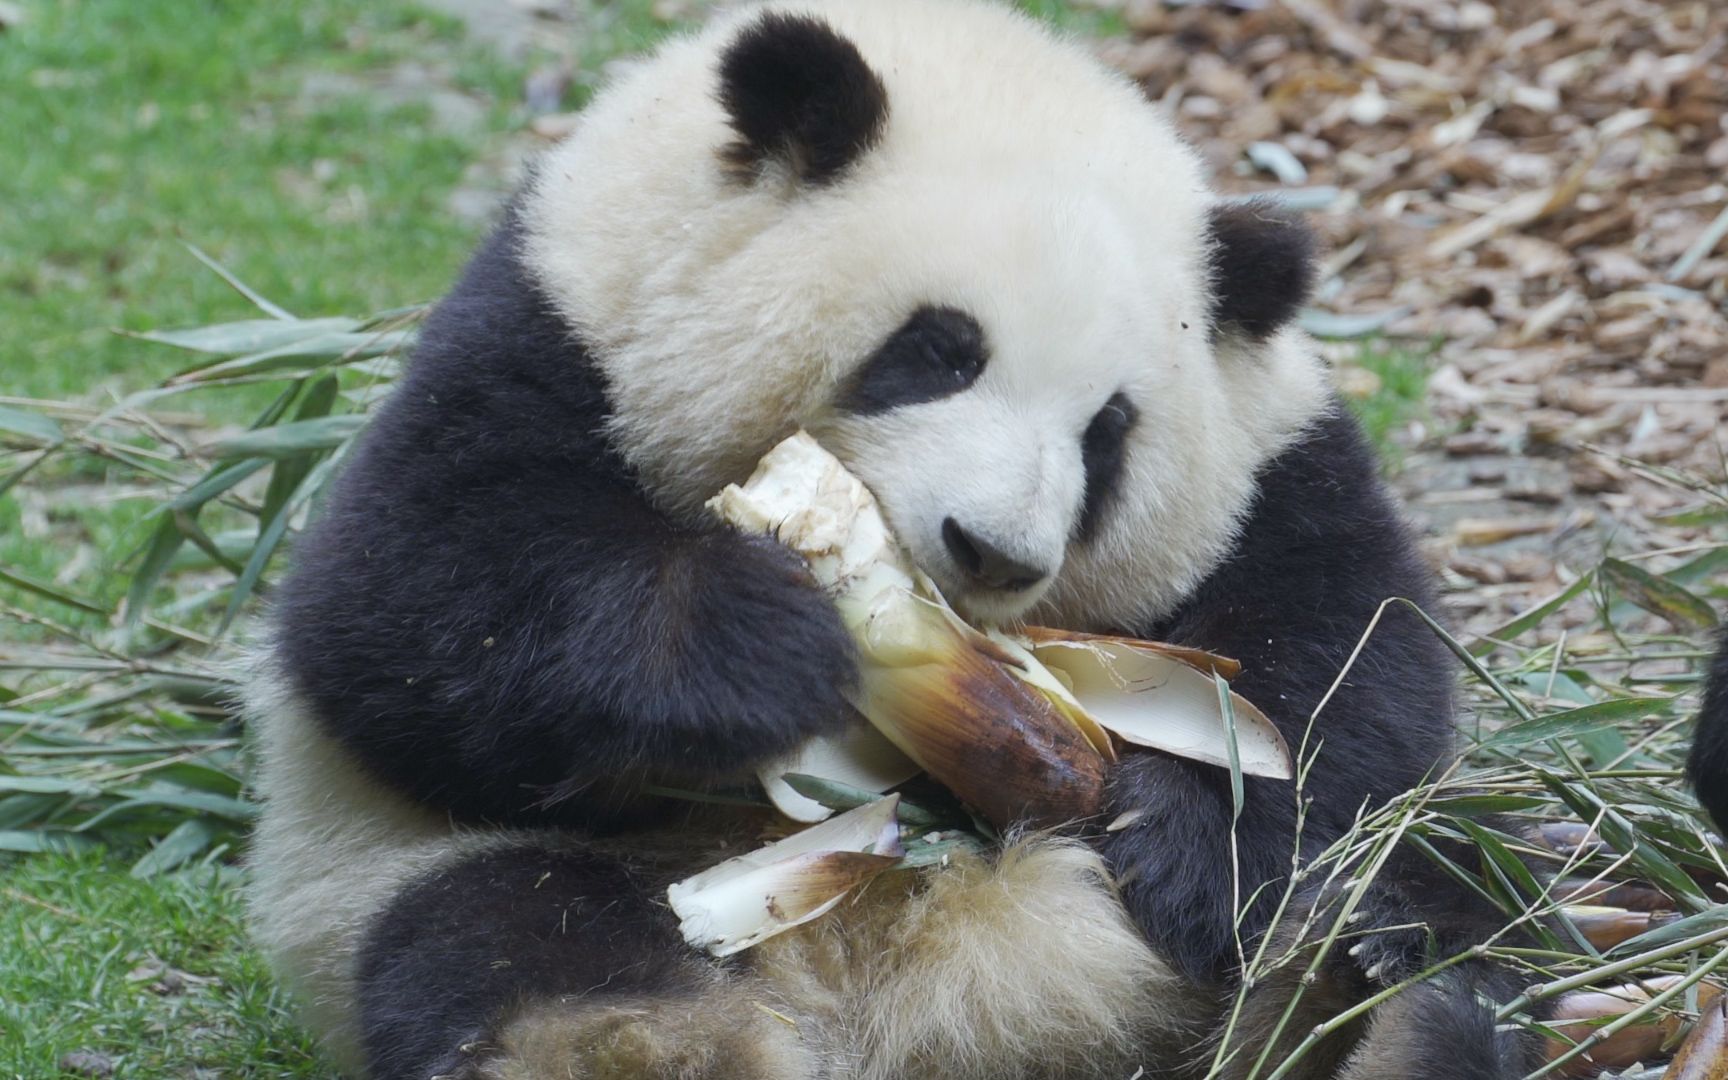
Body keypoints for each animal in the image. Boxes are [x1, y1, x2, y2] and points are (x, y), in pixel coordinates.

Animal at [240, 2, 1541, 1078]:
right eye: (938, 351)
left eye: (1108, 432)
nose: (993, 551)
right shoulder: (554, 323)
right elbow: (398, 609)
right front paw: (762, 642)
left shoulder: (1276, 453)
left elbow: (1353, 663)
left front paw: (1183, 830)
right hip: (441, 876)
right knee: (514, 942)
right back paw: (648, 1047)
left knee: (1451, 900)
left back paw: (1392, 1006)